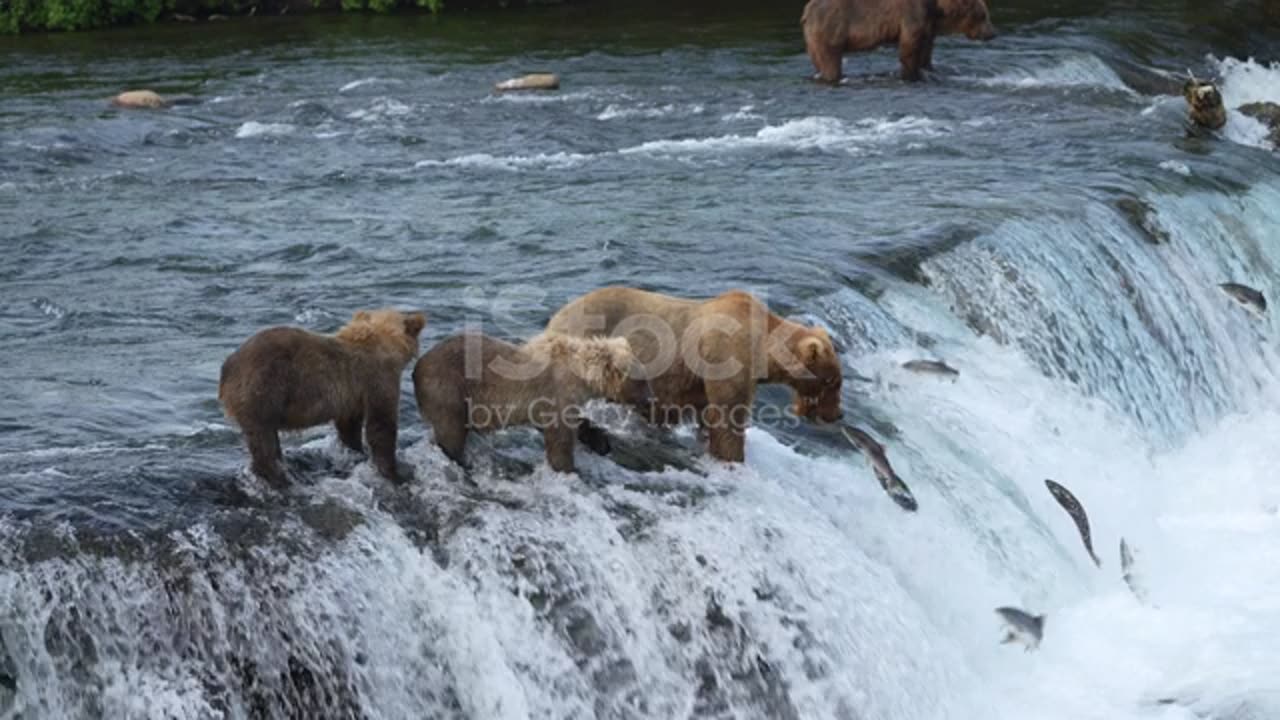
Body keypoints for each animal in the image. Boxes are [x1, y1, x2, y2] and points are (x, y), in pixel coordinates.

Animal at [215, 304, 424, 484]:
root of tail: (226, 368)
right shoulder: (377, 379)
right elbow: (381, 424)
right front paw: (397, 472)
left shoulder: (351, 393)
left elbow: (349, 425)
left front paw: (357, 450)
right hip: (262, 388)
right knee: (262, 438)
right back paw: (278, 477)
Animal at [412, 330, 655, 471]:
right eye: (642, 382)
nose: (651, 399)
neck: (581, 376)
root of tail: (417, 367)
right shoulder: (556, 392)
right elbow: (559, 438)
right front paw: (568, 468)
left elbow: (572, 423)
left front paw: (601, 442)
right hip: (449, 387)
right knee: (450, 430)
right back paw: (460, 460)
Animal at [545, 284, 844, 458]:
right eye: (832, 381)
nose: (837, 414)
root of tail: (556, 317)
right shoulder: (727, 356)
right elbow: (728, 417)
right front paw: (732, 458)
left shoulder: (699, 380)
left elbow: (707, 414)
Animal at [798, 0, 998, 82]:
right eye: (984, 15)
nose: (992, 33)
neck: (937, 8)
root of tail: (806, 11)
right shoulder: (913, 14)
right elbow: (909, 46)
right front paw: (912, 74)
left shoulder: (928, 22)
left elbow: (926, 48)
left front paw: (929, 68)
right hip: (831, 27)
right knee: (830, 59)